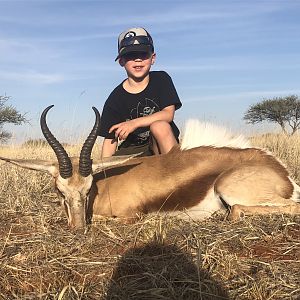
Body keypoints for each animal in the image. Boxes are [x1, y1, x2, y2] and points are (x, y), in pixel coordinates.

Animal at [0, 105, 300, 230]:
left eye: (88, 188)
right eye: (60, 191)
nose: (77, 228)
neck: (104, 189)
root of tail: (281, 172)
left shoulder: (131, 215)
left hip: (227, 187)